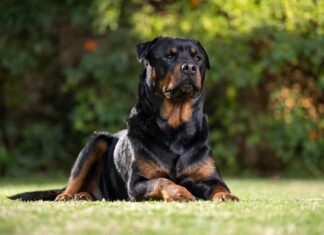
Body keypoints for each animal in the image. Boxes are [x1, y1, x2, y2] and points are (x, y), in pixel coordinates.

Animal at [10, 36, 239, 202]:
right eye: (169, 56)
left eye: (198, 58)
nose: (189, 67)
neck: (176, 129)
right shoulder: (136, 183)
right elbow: (163, 181)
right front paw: (180, 193)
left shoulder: (209, 177)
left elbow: (220, 185)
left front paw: (226, 196)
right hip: (96, 142)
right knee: (71, 183)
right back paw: (68, 196)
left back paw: (83, 196)